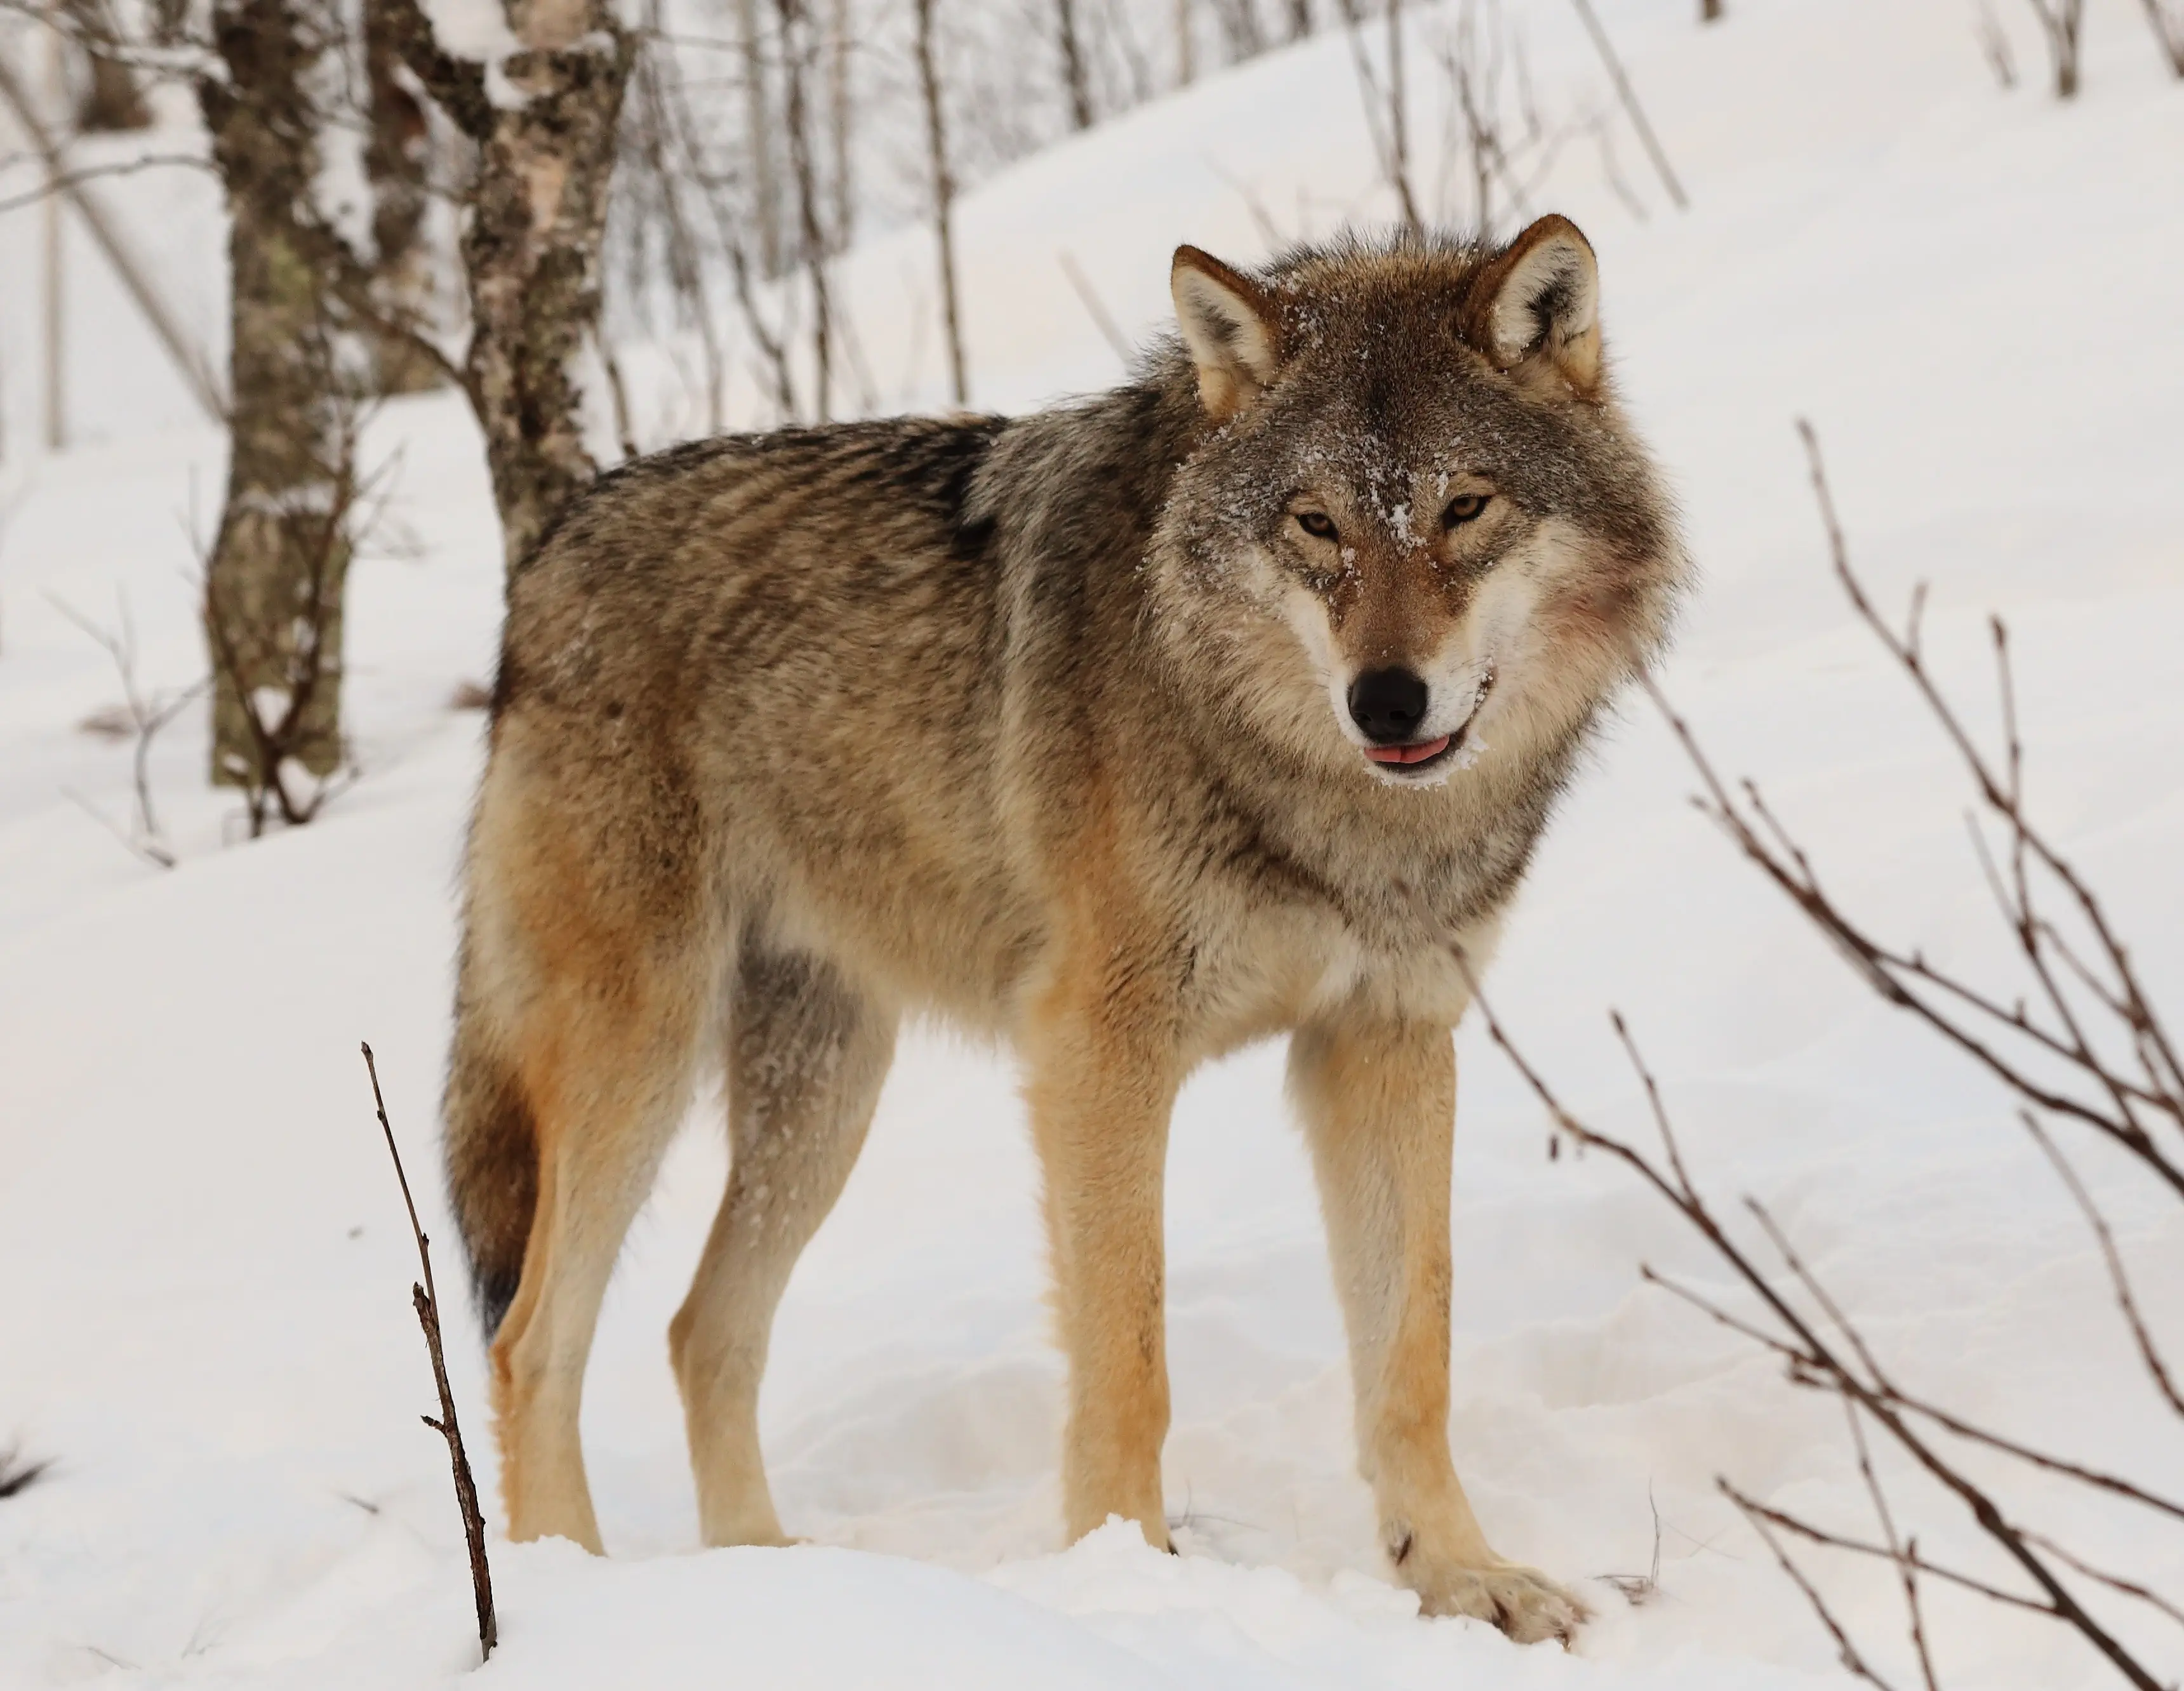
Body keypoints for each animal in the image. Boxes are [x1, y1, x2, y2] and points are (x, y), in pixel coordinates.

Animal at [439, 211, 1668, 1643]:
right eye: (1315, 524)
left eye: (1465, 506)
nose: (1387, 699)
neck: (1317, 798)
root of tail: (548, 553)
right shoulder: (1099, 1050)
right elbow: (1129, 1354)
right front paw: (1130, 1580)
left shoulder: (1386, 1039)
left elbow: (1413, 1353)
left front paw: (1463, 1578)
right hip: (637, 1062)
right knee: (532, 1342)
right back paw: (573, 1601)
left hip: (823, 1096)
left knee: (703, 1330)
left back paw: (775, 1580)